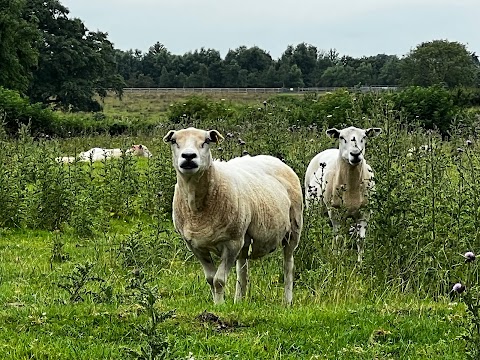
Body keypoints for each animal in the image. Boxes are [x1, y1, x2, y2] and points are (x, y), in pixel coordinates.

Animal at [163, 126, 302, 304]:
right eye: (174, 141)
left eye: (206, 141)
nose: (188, 156)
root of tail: (274, 159)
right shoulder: (195, 246)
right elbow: (210, 279)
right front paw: (218, 303)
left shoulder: (231, 243)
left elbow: (219, 280)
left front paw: (220, 305)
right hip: (244, 236)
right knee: (243, 267)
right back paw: (239, 301)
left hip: (293, 229)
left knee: (288, 265)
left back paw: (287, 301)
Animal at [306, 126, 380, 262]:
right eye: (341, 137)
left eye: (364, 137)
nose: (355, 154)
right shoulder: (335, 211)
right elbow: (339, 239)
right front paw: (337, 260)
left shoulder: (365, 211)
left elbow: (360, 240)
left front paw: (360, 263)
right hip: (313, 207)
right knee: (316, 227)